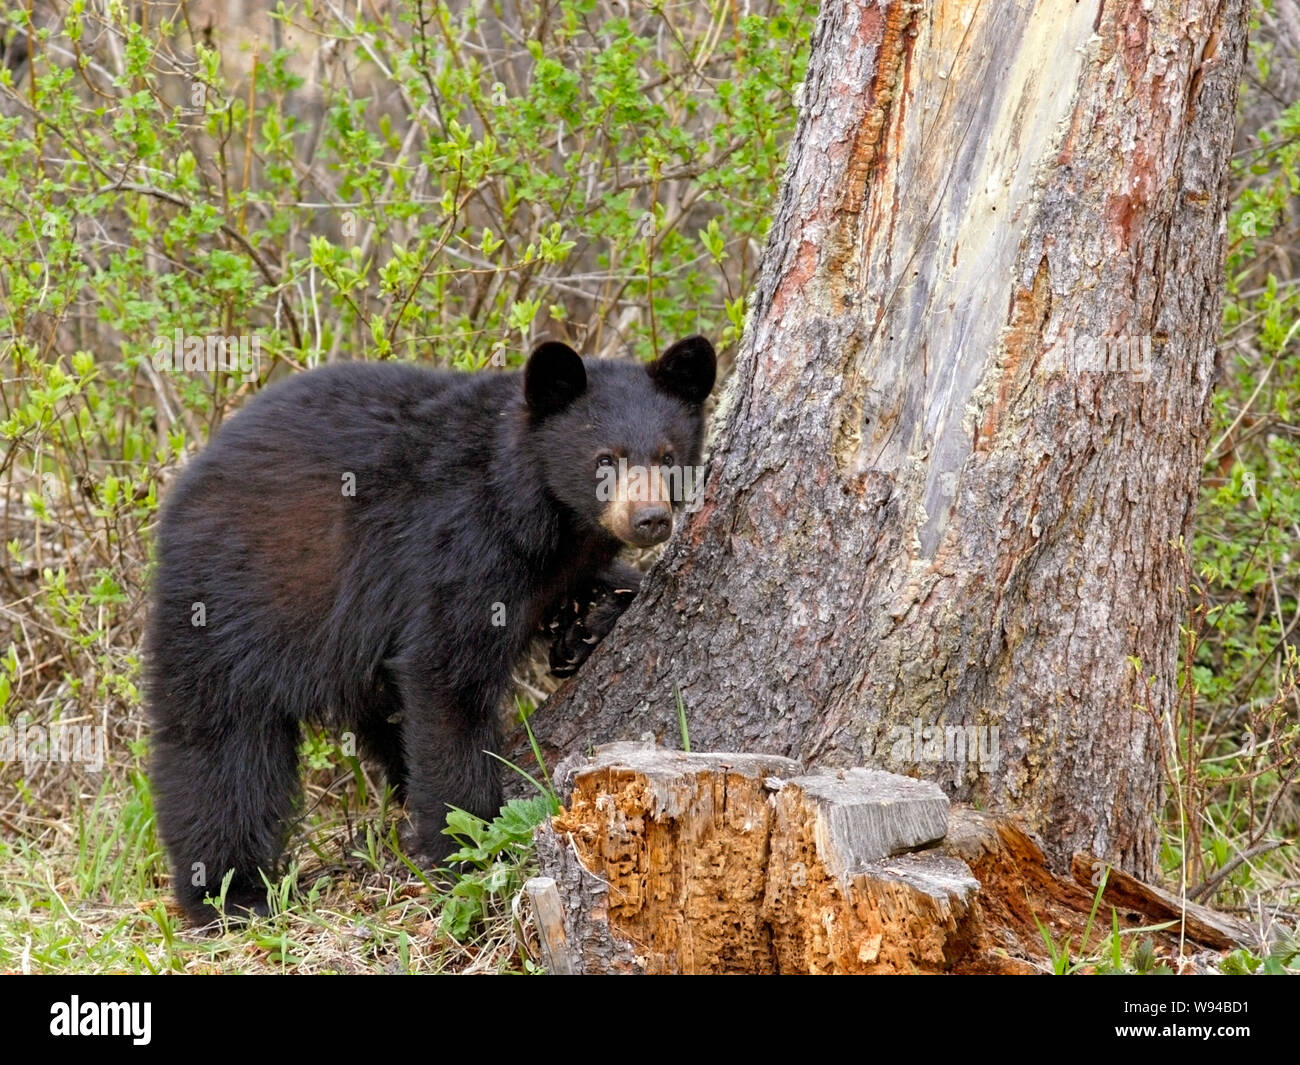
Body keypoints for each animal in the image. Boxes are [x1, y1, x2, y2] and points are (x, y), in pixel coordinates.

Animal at [147, 338, 717, 920]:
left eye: (668, 456)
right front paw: (469, 845)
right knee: (219, 745)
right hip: (234, 598)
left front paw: (589, 624)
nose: (649, 518)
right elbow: (445, 675)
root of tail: (186, 487)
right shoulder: (457, 540)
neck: (542, 507)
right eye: (605, 458)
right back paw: (228, 891)